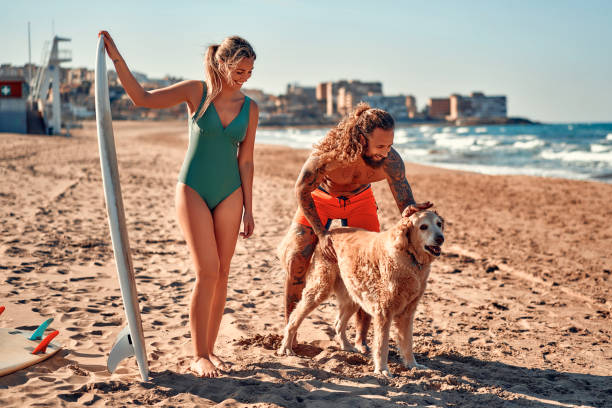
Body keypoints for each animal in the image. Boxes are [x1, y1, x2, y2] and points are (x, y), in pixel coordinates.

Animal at [278, 206, 444, 378]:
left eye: (439, 224)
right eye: (423, 227)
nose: (440, 238)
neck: (409, 256)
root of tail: (330, 232)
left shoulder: (408, 312)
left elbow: (408, 343)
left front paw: (413, 365)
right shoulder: (384, 311)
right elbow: (382, 344)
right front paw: (382, 369)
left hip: (353, 296)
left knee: (338, 324)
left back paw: (347, 346)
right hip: (320, 289)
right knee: (294, 318)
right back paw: (286, 347)